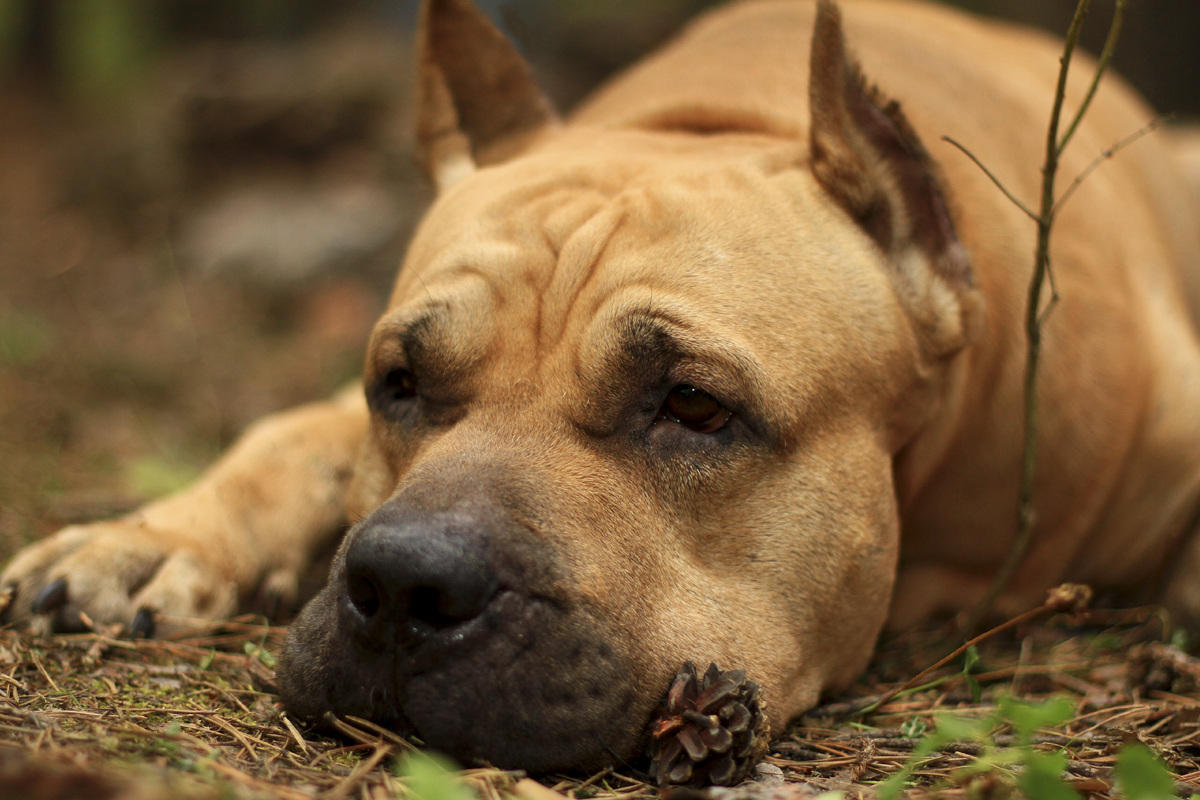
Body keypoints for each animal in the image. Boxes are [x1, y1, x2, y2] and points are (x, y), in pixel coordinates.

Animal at [2, 0, 1200, 777]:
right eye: (399, 383)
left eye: (697, 408)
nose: (403, 583)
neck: (719, 121)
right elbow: (286, 435)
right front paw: (151, 536)